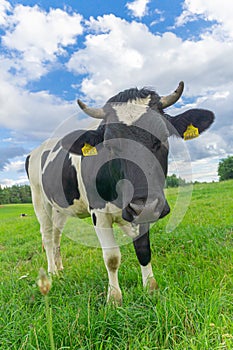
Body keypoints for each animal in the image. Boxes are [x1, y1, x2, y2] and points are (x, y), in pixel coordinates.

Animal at [26, 82, 215, 304]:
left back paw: (60, 268)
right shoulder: (98, 213)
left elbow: (143, 250)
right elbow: (112, 258)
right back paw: (52, 273)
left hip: (60, 208)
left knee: (56, 235)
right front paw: (114, 298)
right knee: (47, 236)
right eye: (110, 144)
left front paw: (150, 288)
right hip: (40, 201)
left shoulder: (142, 210)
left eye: (163, 136)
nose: (145, 204)